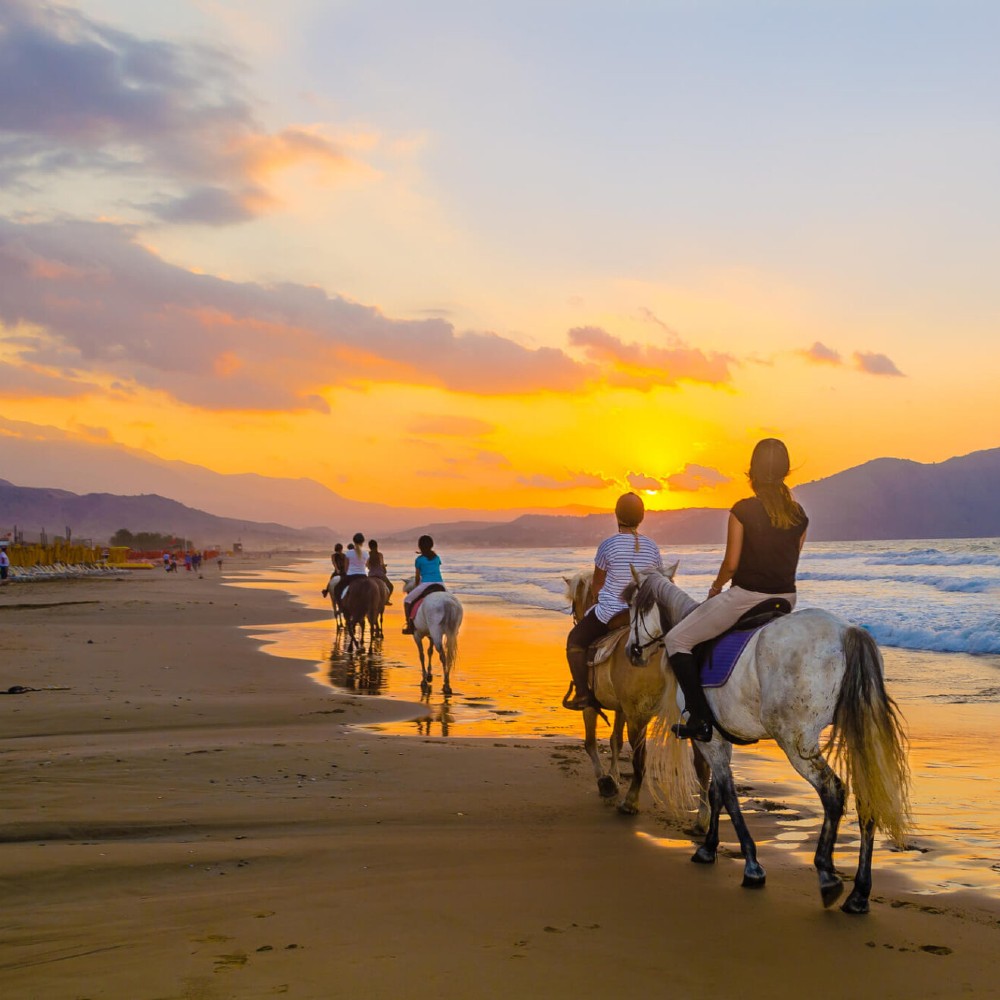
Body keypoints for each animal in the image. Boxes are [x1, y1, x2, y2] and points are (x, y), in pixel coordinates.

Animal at [563, 567, 711, 819]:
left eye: (574, 603)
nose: (576, 616)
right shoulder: (622, 708)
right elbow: (615, 741)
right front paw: (613, 777)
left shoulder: (594, 706)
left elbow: (591, 743)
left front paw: (605, 782)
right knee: (702, 764)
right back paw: (703, 816)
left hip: (638, 716)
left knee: (640, 759)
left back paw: (630, 802)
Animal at [626, 565, 911, 914]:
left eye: (632, 608)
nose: (631, 652)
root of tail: (846, 631)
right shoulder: (720, 738)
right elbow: (717, 792)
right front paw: (708, 848)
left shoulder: (709, 738)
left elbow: (728, 796)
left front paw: (751, 865)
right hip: (855, 732)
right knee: (866, 795)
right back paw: (859, 894)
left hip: (795, 742)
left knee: (832, 791)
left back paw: (827, 876)